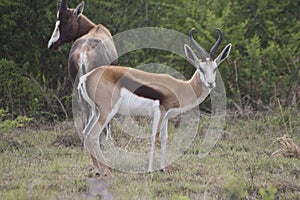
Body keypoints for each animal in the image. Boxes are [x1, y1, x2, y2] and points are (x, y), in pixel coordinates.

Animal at [48, 0, 117, 175]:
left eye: (63, 21)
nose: (51, 45)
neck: (94, 28)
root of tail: (84, 52)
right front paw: (109, 139)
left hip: (77, 85)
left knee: (84, 110)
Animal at [78, 27, 232, 172]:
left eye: (215, 68)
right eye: (201, 68)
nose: (211, 83)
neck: (181, 88)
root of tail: (86, 77)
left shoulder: (167, 116)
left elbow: (164, 138)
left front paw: (163, 169)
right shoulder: (160, 112)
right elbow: (155, 137)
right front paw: (150, 170)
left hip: (96, 111)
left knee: (86, 133)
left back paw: (98, 170)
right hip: (107, 111)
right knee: (93, 136)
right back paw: (106, 171)